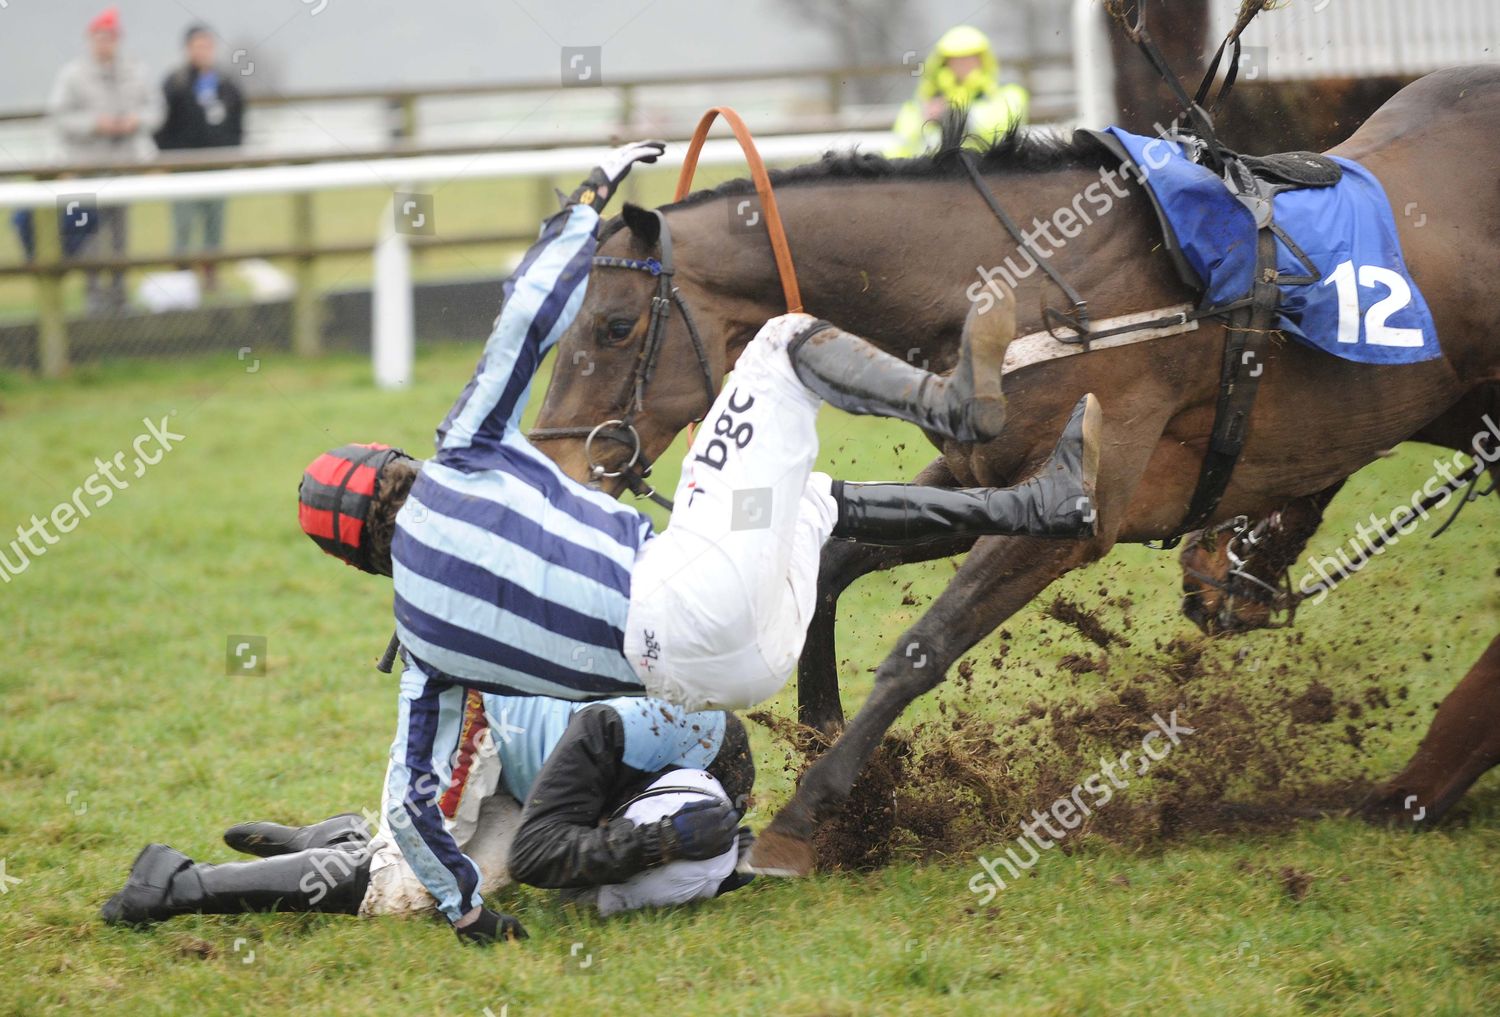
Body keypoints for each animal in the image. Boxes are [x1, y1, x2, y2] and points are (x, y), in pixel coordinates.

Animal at [537, 67, 1500, 876]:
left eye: (614, 325)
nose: (560, 458)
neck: (1028, 282)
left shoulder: (1082, 510)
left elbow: (922, 645)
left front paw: (802, 820)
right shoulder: (982, 471)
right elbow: (837, 563)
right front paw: (836, 756)